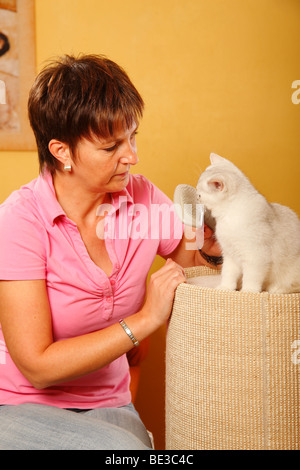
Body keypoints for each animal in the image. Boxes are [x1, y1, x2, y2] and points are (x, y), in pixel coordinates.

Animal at [196, 154, 300, 292]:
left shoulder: (256, 257)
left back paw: (277, 288)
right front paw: (225, 288)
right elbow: (228, 274)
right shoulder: (230, 255)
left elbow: (251, 278)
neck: (228, 217)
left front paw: (248, 291)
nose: (196, 197)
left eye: (199, 195)